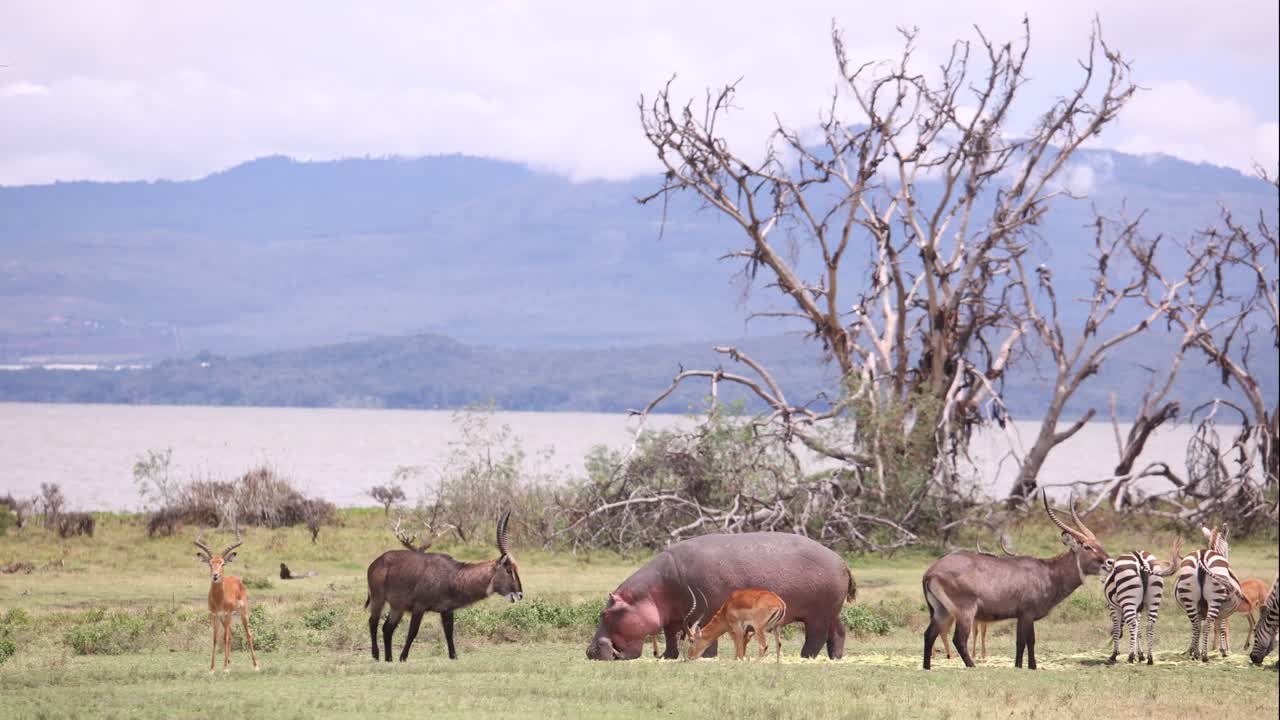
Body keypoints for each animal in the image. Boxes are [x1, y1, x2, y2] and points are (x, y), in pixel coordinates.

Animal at [586, 532, 856, 660]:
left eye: (605, 613)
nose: (589, 651)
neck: (650, 593)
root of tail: (842, 560)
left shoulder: (704, 611)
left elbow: (704, 635)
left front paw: (705, 655)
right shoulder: (673, 617)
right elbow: (671, 636)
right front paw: (667, 656)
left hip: (817, 616)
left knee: (816, 638)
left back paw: (804, 657)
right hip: (832, 612)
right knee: (838, 632)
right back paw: (835, 658)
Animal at [1173, 526, 1243, 662]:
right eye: (1228, 547)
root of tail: (1201, 556)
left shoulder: (1200, 608)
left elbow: (1198, 626)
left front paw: (1192, 650)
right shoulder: (1223, 608)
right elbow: (1221, 626)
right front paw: (1223, 651)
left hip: (1190, 599)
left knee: (1196, 625)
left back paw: (1196, 654)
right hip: (1215, 598)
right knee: (1207, 625)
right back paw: (1205, 656)